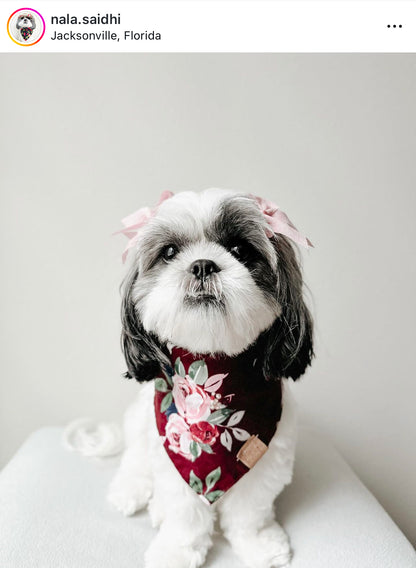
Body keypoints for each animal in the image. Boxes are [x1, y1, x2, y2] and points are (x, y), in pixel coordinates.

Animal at [107, 190, 312, 568]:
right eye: (169, 252)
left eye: (241, 249)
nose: (203, 264)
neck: (215, 368)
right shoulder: (176, 458)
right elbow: (185, 514)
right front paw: (174, 552)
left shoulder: (266, 459)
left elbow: (250, 512)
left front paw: (259, 544)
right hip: (141, 425)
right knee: (135, 460)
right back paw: (130, 490)